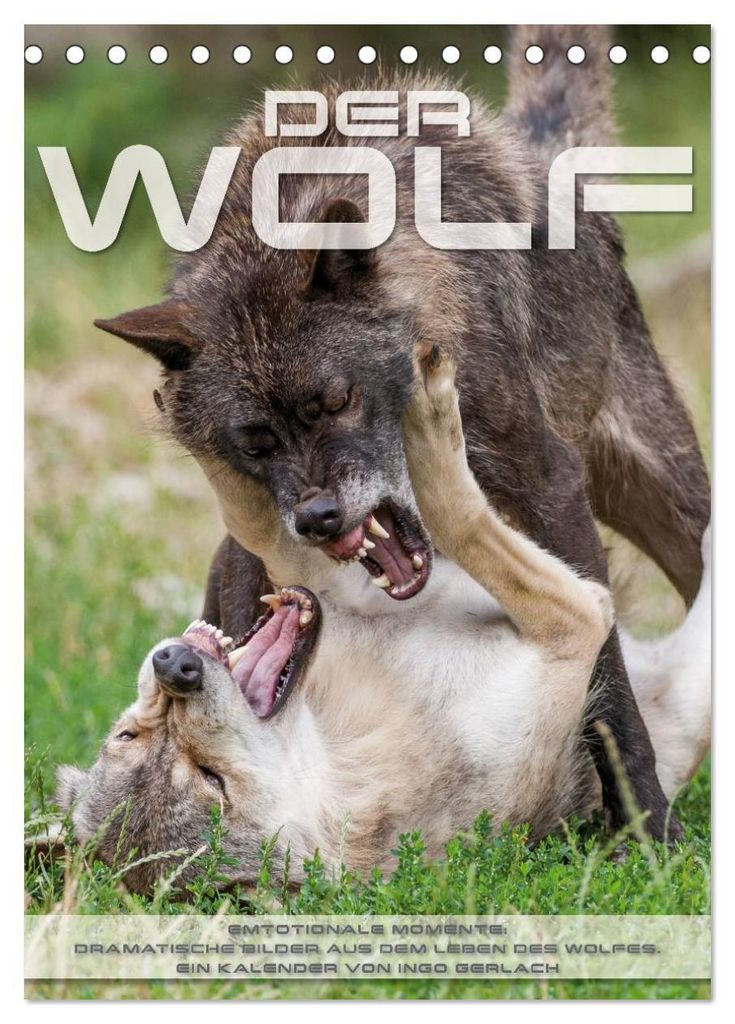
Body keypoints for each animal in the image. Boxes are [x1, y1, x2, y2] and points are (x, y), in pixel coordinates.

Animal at [57, 354, 711, 892]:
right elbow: (460, 515)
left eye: (128, 736)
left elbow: (259, 520)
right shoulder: (573, 623)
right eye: (211, 781)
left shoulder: (320, 573)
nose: (176, 667)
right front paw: (430, 419)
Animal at [94, 26, 710, 842]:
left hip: (675, 507)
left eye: (335, 401)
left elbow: (609, 693)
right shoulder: (253, 545)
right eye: (255, 442)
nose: (318, 520)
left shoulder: (548, 492)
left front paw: (648, 832)